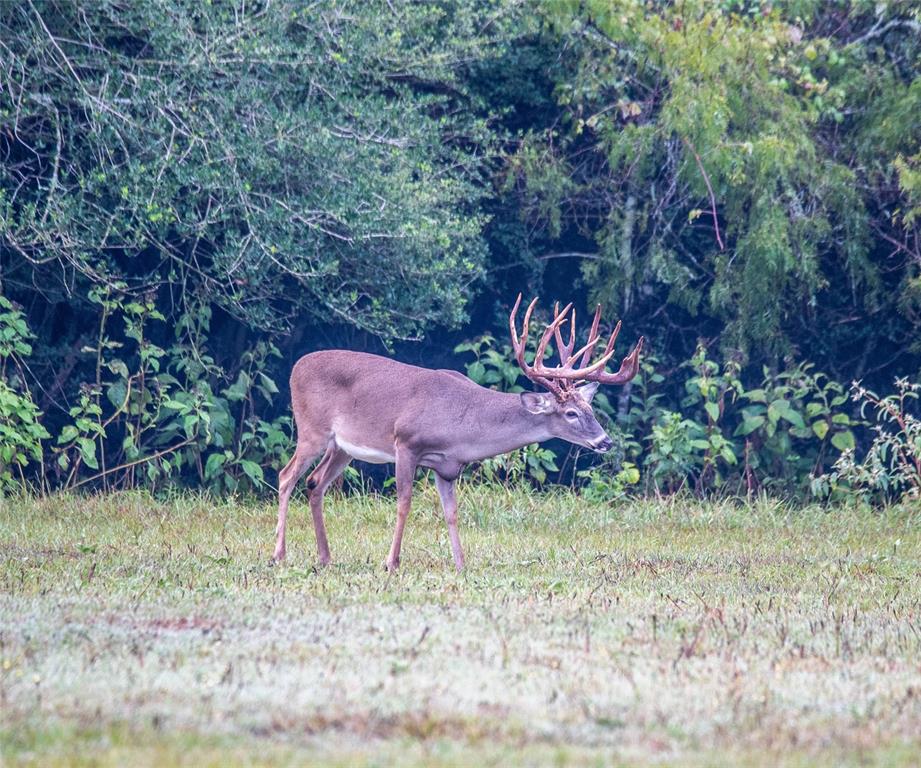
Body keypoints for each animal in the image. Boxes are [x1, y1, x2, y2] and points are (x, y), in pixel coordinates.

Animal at [274, 294, 644, 568]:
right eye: (570, 413)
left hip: (343, 447)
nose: (605, 441)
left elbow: (451, 513)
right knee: (286, 475)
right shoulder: (406, 443)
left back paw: (325, 557)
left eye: (591, 410)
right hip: (312, 429)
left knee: (315, 483)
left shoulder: (448, 466)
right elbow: (404, 502)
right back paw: (279, 554)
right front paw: (391, 562)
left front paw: (461, 564)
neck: (462, 424)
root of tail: (295, 367)